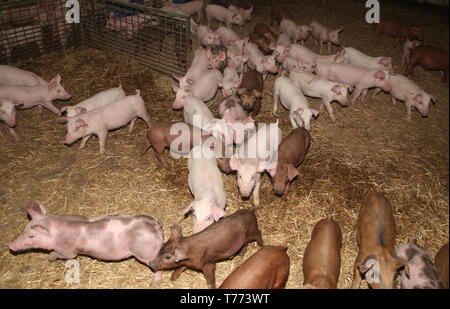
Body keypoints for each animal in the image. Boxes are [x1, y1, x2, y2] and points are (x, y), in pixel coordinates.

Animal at [9, 202, 164, 284]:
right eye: (24, 229)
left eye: (31, 236)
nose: (10, 246)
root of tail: (155, 225)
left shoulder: (68, 251)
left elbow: (60, 254)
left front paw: (50, 258)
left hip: (146, 252)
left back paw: (153, 283)